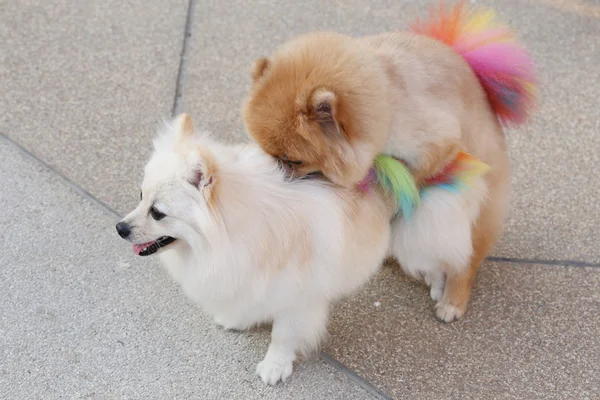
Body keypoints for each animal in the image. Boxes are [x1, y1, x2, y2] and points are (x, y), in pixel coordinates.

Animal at [116, 113, 398, 384]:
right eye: (140, 196)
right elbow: (247, 298)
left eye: (157, 213)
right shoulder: (248, 274)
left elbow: (283, 334)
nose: (120, 228)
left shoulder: (298, 294)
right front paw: (237, 319)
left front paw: (275, 365)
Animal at [244, 2, 540, 322]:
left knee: (465, 260)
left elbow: (412, 176)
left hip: (478, 210)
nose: (275, 171)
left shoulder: (438, 143)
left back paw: (452, 299)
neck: (388, 96)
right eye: (266, 151)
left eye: (292, 160)